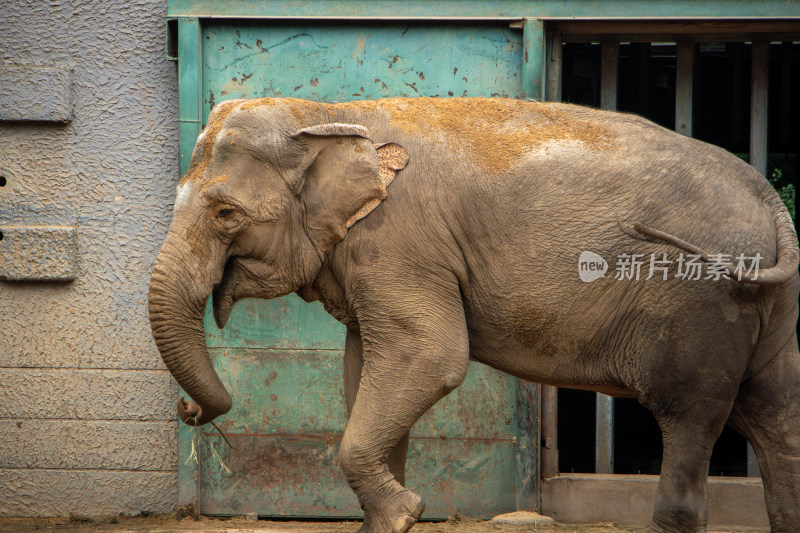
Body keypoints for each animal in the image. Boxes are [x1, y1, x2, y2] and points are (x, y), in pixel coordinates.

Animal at [150, 96, 800, 532]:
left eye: (226, 214)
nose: (186, 410)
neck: (330, 112)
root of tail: (770, 198)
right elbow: (364, 373)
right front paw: (390, 519)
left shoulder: (400, 244)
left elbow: (429, 357)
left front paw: (406, 513)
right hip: (763, 310)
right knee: (777, 424)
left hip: (701, 305)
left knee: (688, 419)